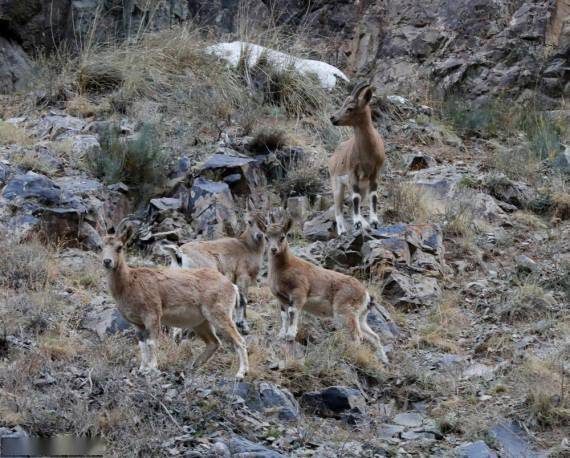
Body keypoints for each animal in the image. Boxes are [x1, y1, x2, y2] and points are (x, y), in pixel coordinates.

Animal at [102, 220, 248, 378]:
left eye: (119, 247)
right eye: (101, 246)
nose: (107, 261)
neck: (129, 283)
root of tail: (232, 286)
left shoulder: (153, 315)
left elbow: (151, 343)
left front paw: (152, 369)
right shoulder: (137, 323)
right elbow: (142, 345)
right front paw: (142, 369)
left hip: (220, 315)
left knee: (239, 340)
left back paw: (241, 373)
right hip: (201, 323)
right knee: (214, 342)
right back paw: (192, 366)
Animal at [161, 203, 266, 332]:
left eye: (263, 220)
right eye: (249, 222)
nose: (259, 235)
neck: (248, 247)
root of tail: (179, 255)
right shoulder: (243, 275)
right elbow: (243, 300)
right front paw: (244, 326)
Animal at [264, 216, 388, 364]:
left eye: (282, 236)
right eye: (266, 237)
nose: (273, 249)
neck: (284, 268)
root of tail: (366, 295)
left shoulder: (298, 294)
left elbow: (293, 313)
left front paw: (290, 335)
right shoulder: (281, 299)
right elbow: (284, 316)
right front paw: (282, 335)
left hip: (346, 313)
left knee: (357, 336)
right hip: (361, 317)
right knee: (374, 336)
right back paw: (384, 360)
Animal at [326, 81, 384, 236]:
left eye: (350, 108)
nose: (333, 118)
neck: (368, 152)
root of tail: (333, 158)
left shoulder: (375, 172)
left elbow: (373, 195)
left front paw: (374, 222)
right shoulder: (353, 172)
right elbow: (356, 198)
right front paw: (357, 223)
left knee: (350, 204)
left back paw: (365, 225)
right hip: (337, 183)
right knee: (338, 208)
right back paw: (342, 232)